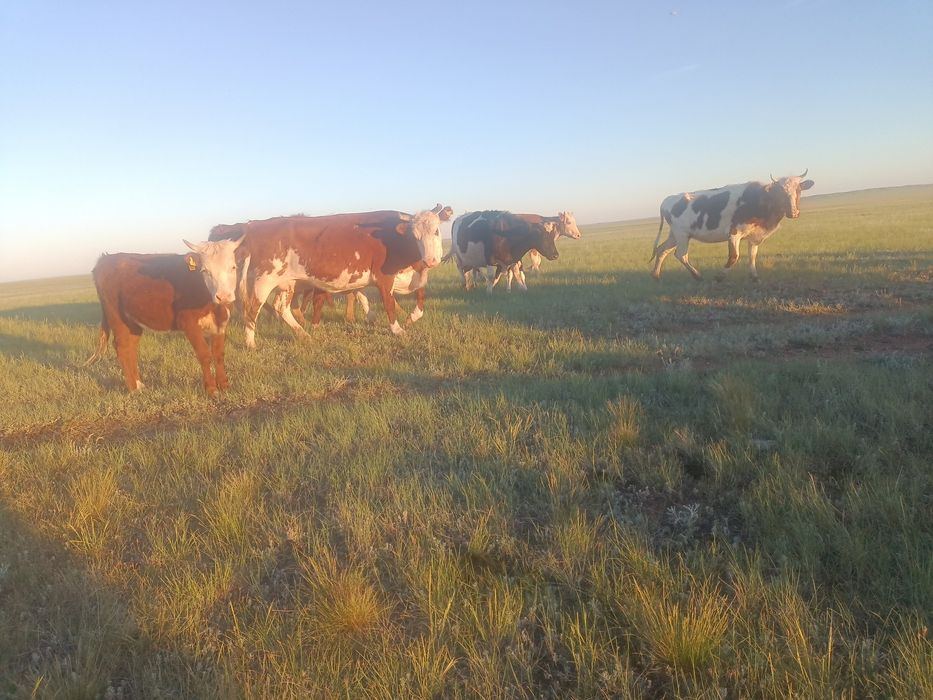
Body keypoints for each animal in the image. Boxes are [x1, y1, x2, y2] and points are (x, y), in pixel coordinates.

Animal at [83, 238, 243, 394]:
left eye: (233, 267)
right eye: (204, 270)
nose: (223, 296)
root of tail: (105, 258)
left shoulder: (221, 323)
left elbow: (219, 354)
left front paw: (224, 385)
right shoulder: (188, 323)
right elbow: (204, 354)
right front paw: (211, 389)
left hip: (133, 321)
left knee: (131, 347)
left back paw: (139, 383)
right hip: (116, 316)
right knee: (122, 346)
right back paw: (133, 389)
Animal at [209, 206, 449, 347]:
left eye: (436, 231)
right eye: (415, 235)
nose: (431, 260)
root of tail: (253, 226)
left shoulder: (411, 276)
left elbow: (420, 297)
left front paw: (410, 318)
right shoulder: (384, 277)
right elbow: (389, 304)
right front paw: (397, 330)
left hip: (287, 283)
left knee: (281, 307)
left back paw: (303, 334)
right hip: (263, 281)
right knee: (251, 311)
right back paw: (250, 344)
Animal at [444, 211, 580, 291]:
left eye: (551, 237)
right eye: (542, 236)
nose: (555, 255)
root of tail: (458, 218)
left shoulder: (513, 259)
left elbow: (516, 275)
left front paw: (517, 289)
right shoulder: (491, 260)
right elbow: (493, 276)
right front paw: (489, 292)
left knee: (471, 270)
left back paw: (472, 284)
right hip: (459, 255)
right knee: (461, 269)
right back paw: (465, 284)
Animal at [650, 171, 815, 281]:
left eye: (799, 190)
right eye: (780, 192)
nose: (793, 213)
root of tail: (666, 200)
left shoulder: (754, 236)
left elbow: (752, 255)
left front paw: (754, 276)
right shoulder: (734, 233)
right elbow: (734, 257)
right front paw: (719, 276)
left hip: (675, 235)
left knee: (662, 250)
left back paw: (656, 275)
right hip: (682, 234)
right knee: (681, 255)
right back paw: (697, 275)